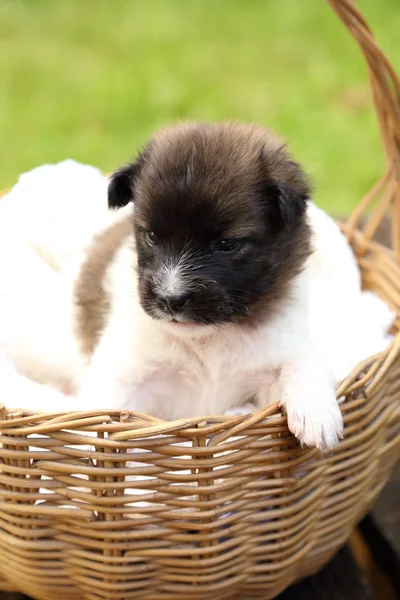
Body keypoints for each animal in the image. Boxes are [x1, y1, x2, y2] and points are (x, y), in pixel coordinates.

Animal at [76, 122, 342, 448]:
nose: (169, 299)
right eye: (151, 236)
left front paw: (318, 414)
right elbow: (101, 413)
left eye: (227, 245)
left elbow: (305, 364)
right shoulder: (123, 375)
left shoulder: (278, 357)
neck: (208, 339)